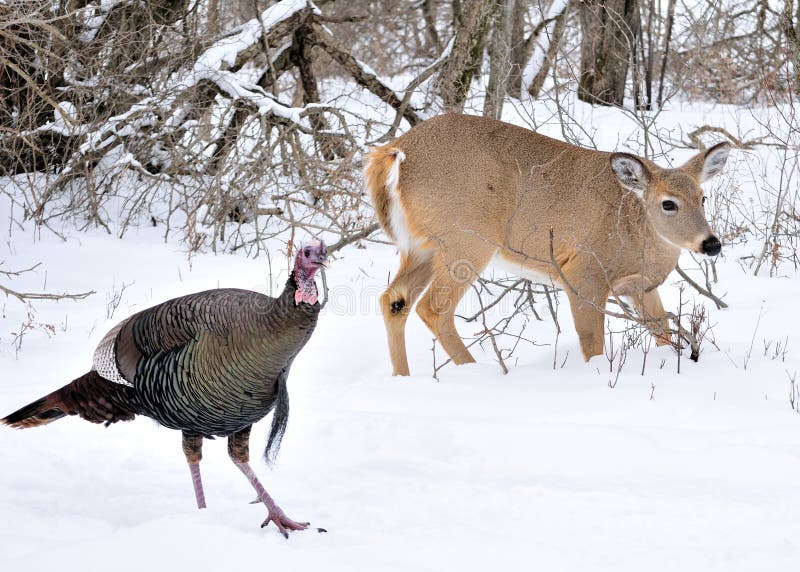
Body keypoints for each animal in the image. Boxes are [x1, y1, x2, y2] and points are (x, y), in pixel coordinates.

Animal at [366, 114, 728, 378]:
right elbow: (592, 343)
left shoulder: (641, 287)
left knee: (394, 300)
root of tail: (394, 152)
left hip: (422, 245)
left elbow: (662, 333)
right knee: (433, 308)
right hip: (465, 239)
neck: (635, 229)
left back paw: (402, 378)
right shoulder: (583, 273)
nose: (711, 244)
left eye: (702, 197)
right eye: (668, 203)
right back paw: (478, 372)